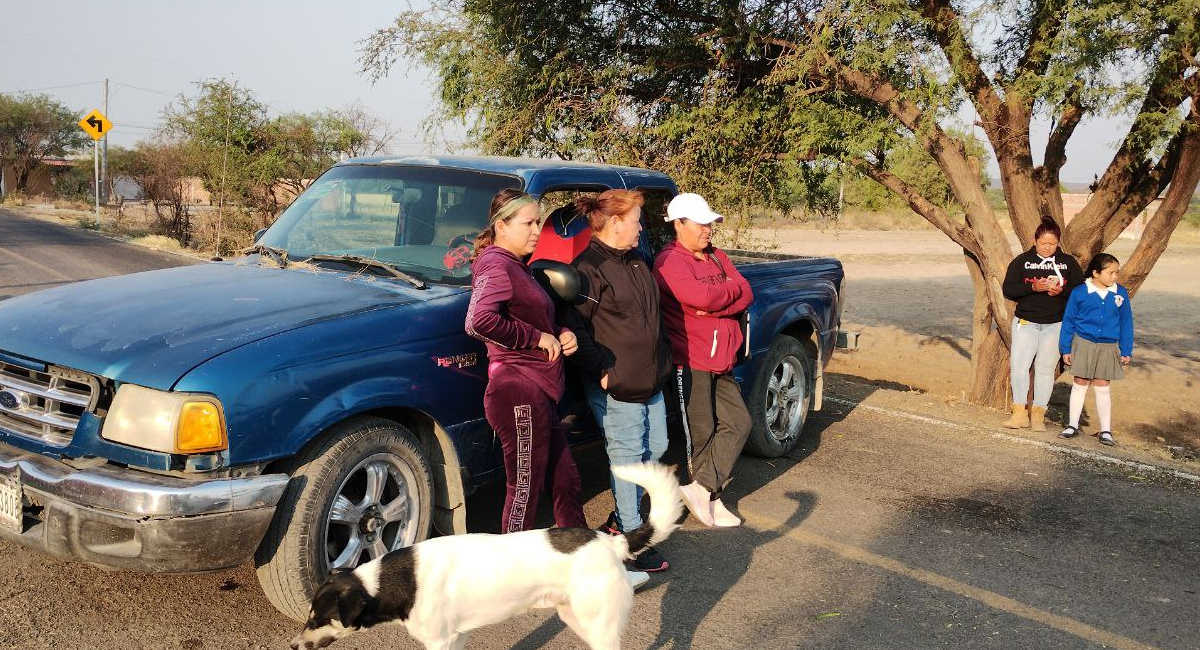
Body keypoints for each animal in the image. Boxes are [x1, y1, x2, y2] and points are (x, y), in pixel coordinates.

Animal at [289, 462, 681, 650]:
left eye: (319, 618)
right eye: (309, 616)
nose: (292, 646)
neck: (393, 581)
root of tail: (611, 543)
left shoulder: (440, 642)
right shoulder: (457, 638)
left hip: (597, 622)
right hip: (574, 616)